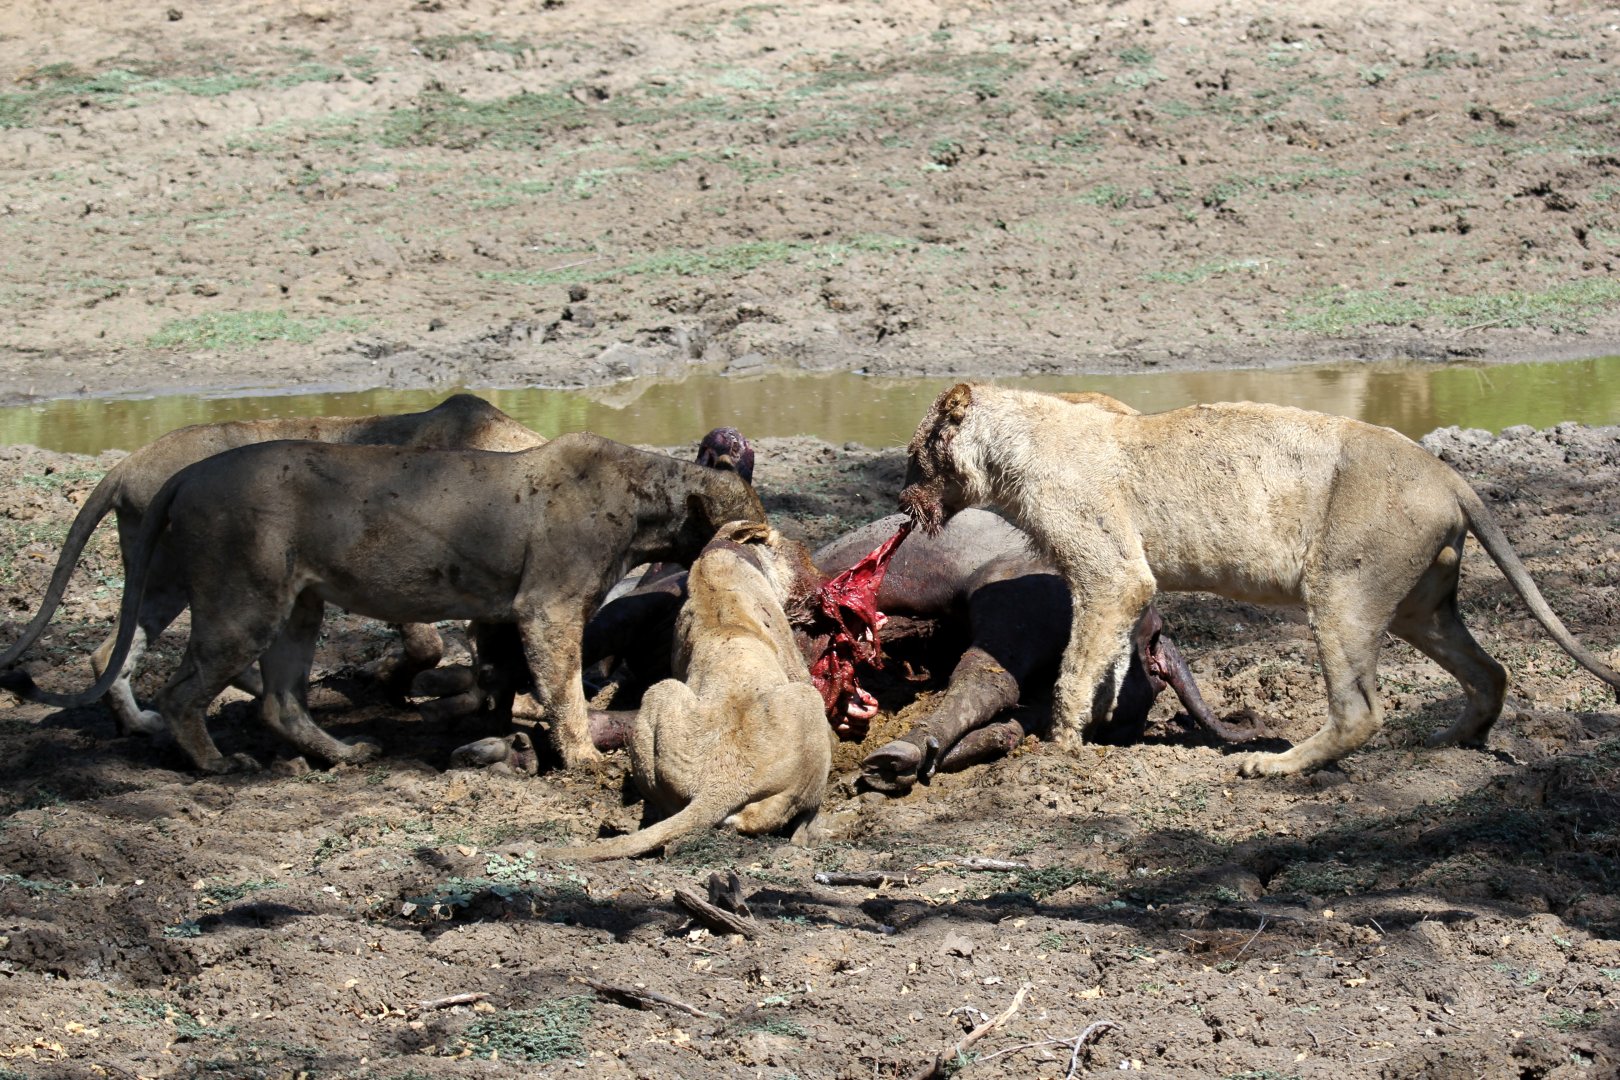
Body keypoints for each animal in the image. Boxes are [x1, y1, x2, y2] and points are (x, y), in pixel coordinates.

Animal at [0, 394, 544, 736]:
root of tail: (127, 463)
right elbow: (428, 645)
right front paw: (392, 682)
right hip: (194, 573)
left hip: (162, 579)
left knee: (112, 650)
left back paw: (146, 723)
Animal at [2, 434, 765, 774]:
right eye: (753, 525)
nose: (768, 543)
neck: (649, 499)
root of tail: (184, 471)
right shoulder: (547, 610)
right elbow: (567, 690)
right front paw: (579, 757)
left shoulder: (503, 611)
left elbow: (503, 676)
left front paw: (500, 726)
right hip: (243, 602)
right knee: (183, 688)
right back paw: (214, 762)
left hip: (283, 606)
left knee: (273, 698)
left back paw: (343, 753)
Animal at [528, 520, 832, 860]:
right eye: (802, 552)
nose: (824, 582)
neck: (719, 553)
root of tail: (719, 785)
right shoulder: (792, 656)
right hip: (805, 702)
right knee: (793, 817)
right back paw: (813, 832)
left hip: (663, 695)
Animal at [900, 383, 1620, 776]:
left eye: (913, 456)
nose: (902, 497)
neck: (1012, 442)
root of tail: (1448, 473)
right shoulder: (1121, 583)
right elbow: (1110, 658)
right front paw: (1104, 719)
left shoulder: (1111, 570)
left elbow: (1078, 664)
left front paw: (1061, 743)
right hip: (1422, 608)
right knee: (1489, 671)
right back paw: (1447, 742)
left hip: (1343, 590)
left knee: (1361, 711)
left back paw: (1273, 765)